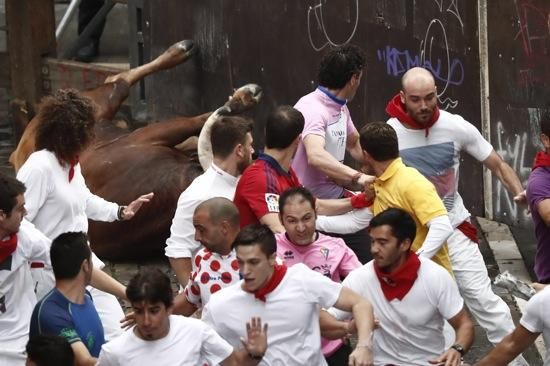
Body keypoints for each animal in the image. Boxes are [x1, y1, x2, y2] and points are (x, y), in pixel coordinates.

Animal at [11, 40, 264, 260]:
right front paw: (243, 98)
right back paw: (181, 49)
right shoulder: (148, 136)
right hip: (103, 107)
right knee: (118, 79)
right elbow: (199, 119)